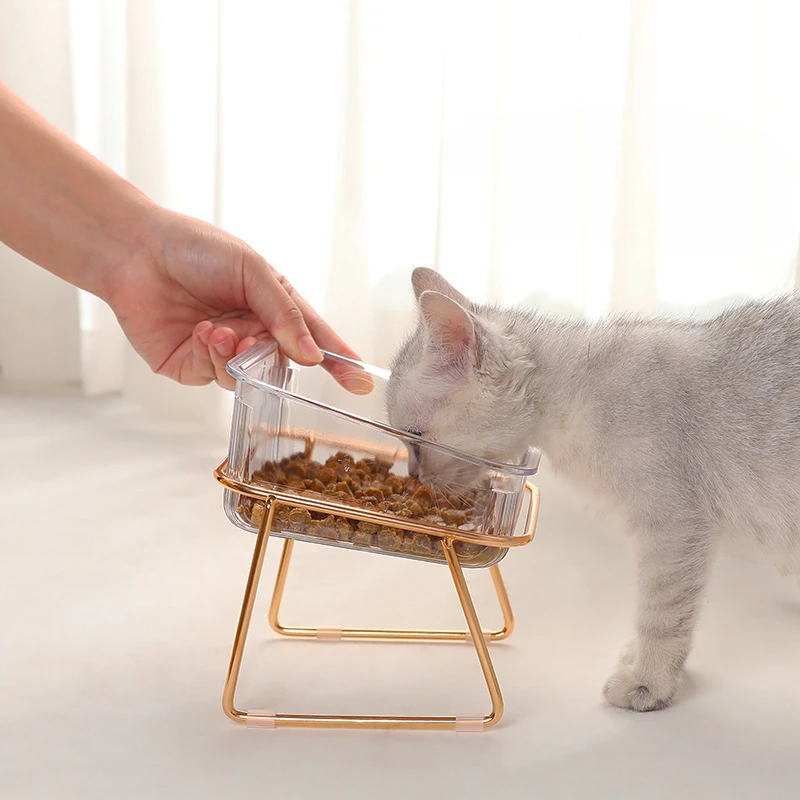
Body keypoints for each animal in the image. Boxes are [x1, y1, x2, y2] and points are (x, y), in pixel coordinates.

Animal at [388, 268, 800, 712]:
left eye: (413, 438)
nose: (413, 475)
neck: (578, 390)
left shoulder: (674, 528)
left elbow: (661, 613)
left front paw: (648, 680)